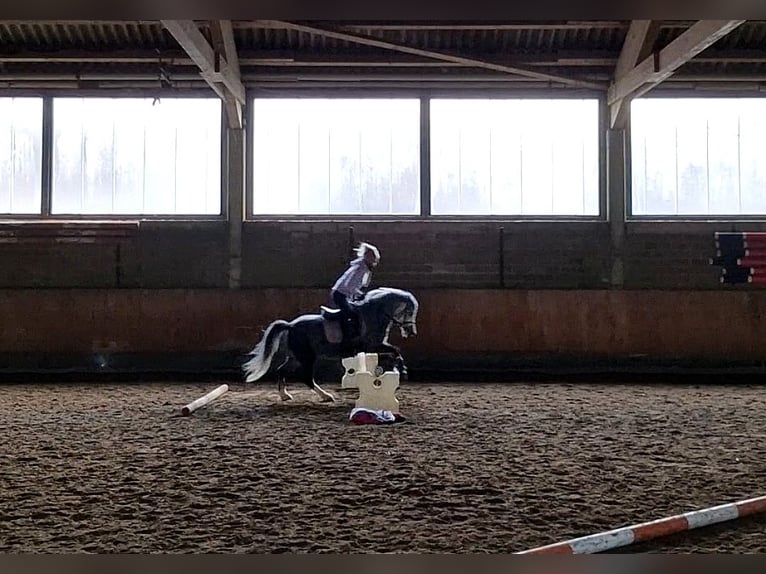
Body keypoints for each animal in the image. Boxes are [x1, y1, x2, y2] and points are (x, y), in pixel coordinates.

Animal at [242, 287, 419, 402]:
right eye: (409, 311)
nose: (411, 332)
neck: (375, 314)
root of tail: (290, 325)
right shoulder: (372, 346)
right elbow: (396, 350)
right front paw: (403, 371)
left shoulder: (375, 347)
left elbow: (394, 352)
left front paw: (394, 370)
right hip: (307, 357)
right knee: (306, 377)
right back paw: (326, 396)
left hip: (296, 357)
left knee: (281, 370)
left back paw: (285, 395)